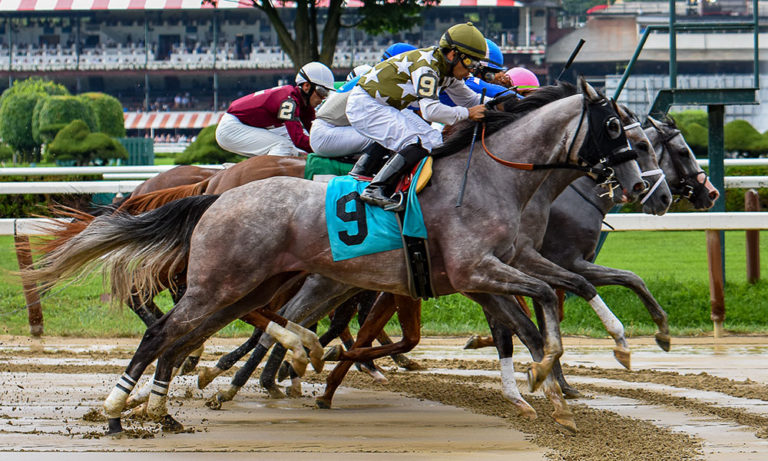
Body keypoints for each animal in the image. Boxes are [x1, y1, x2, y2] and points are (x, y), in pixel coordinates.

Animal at [25, 77, 648, 434]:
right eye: (617, 127)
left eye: (640, 134)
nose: (640, 186)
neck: (496, 178)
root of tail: (216, 193)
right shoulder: (479, 269)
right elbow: (542, 304)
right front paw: (554, 377)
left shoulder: (505, 264)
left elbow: (553, 303)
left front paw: (569, 380)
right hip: (220, 284)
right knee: (164, 332)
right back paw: (118, 408)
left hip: (243, 286)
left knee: (188, 336)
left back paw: (165, 404)